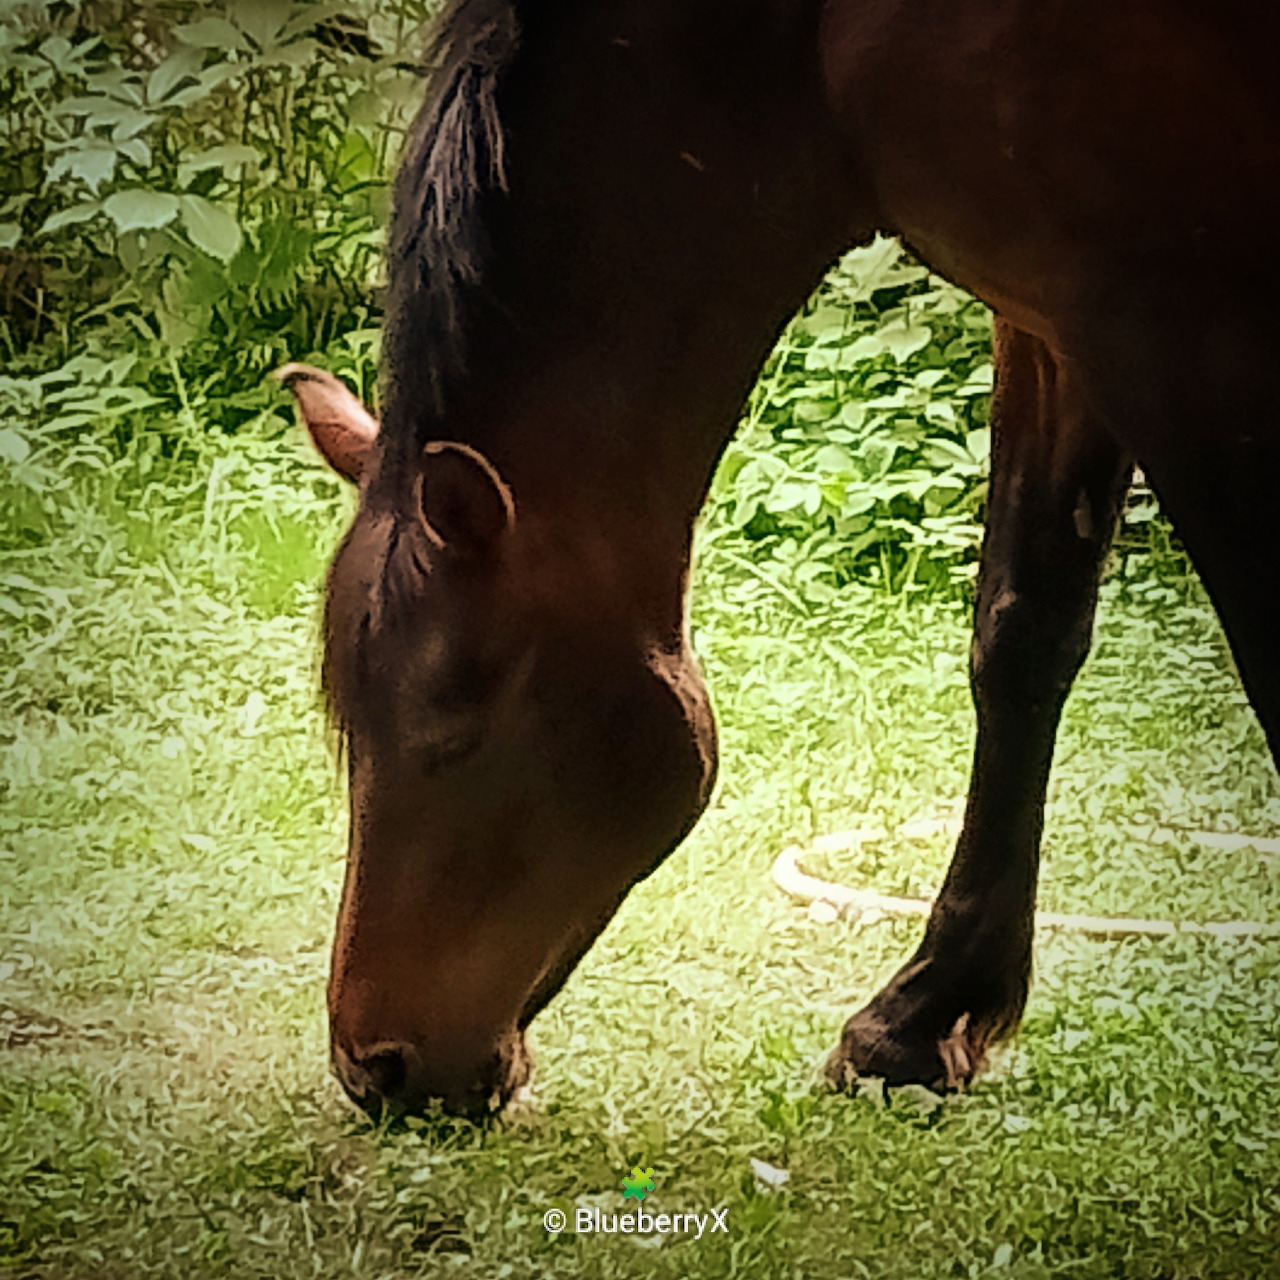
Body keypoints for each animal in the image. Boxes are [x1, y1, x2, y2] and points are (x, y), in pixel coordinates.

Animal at [280, 0, 1280, 1117]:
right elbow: (1023, 636)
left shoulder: (1178, 325)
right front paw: (921, 1019)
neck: (799, 50)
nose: (373, 1065)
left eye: (449, 728)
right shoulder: (1051, 313)